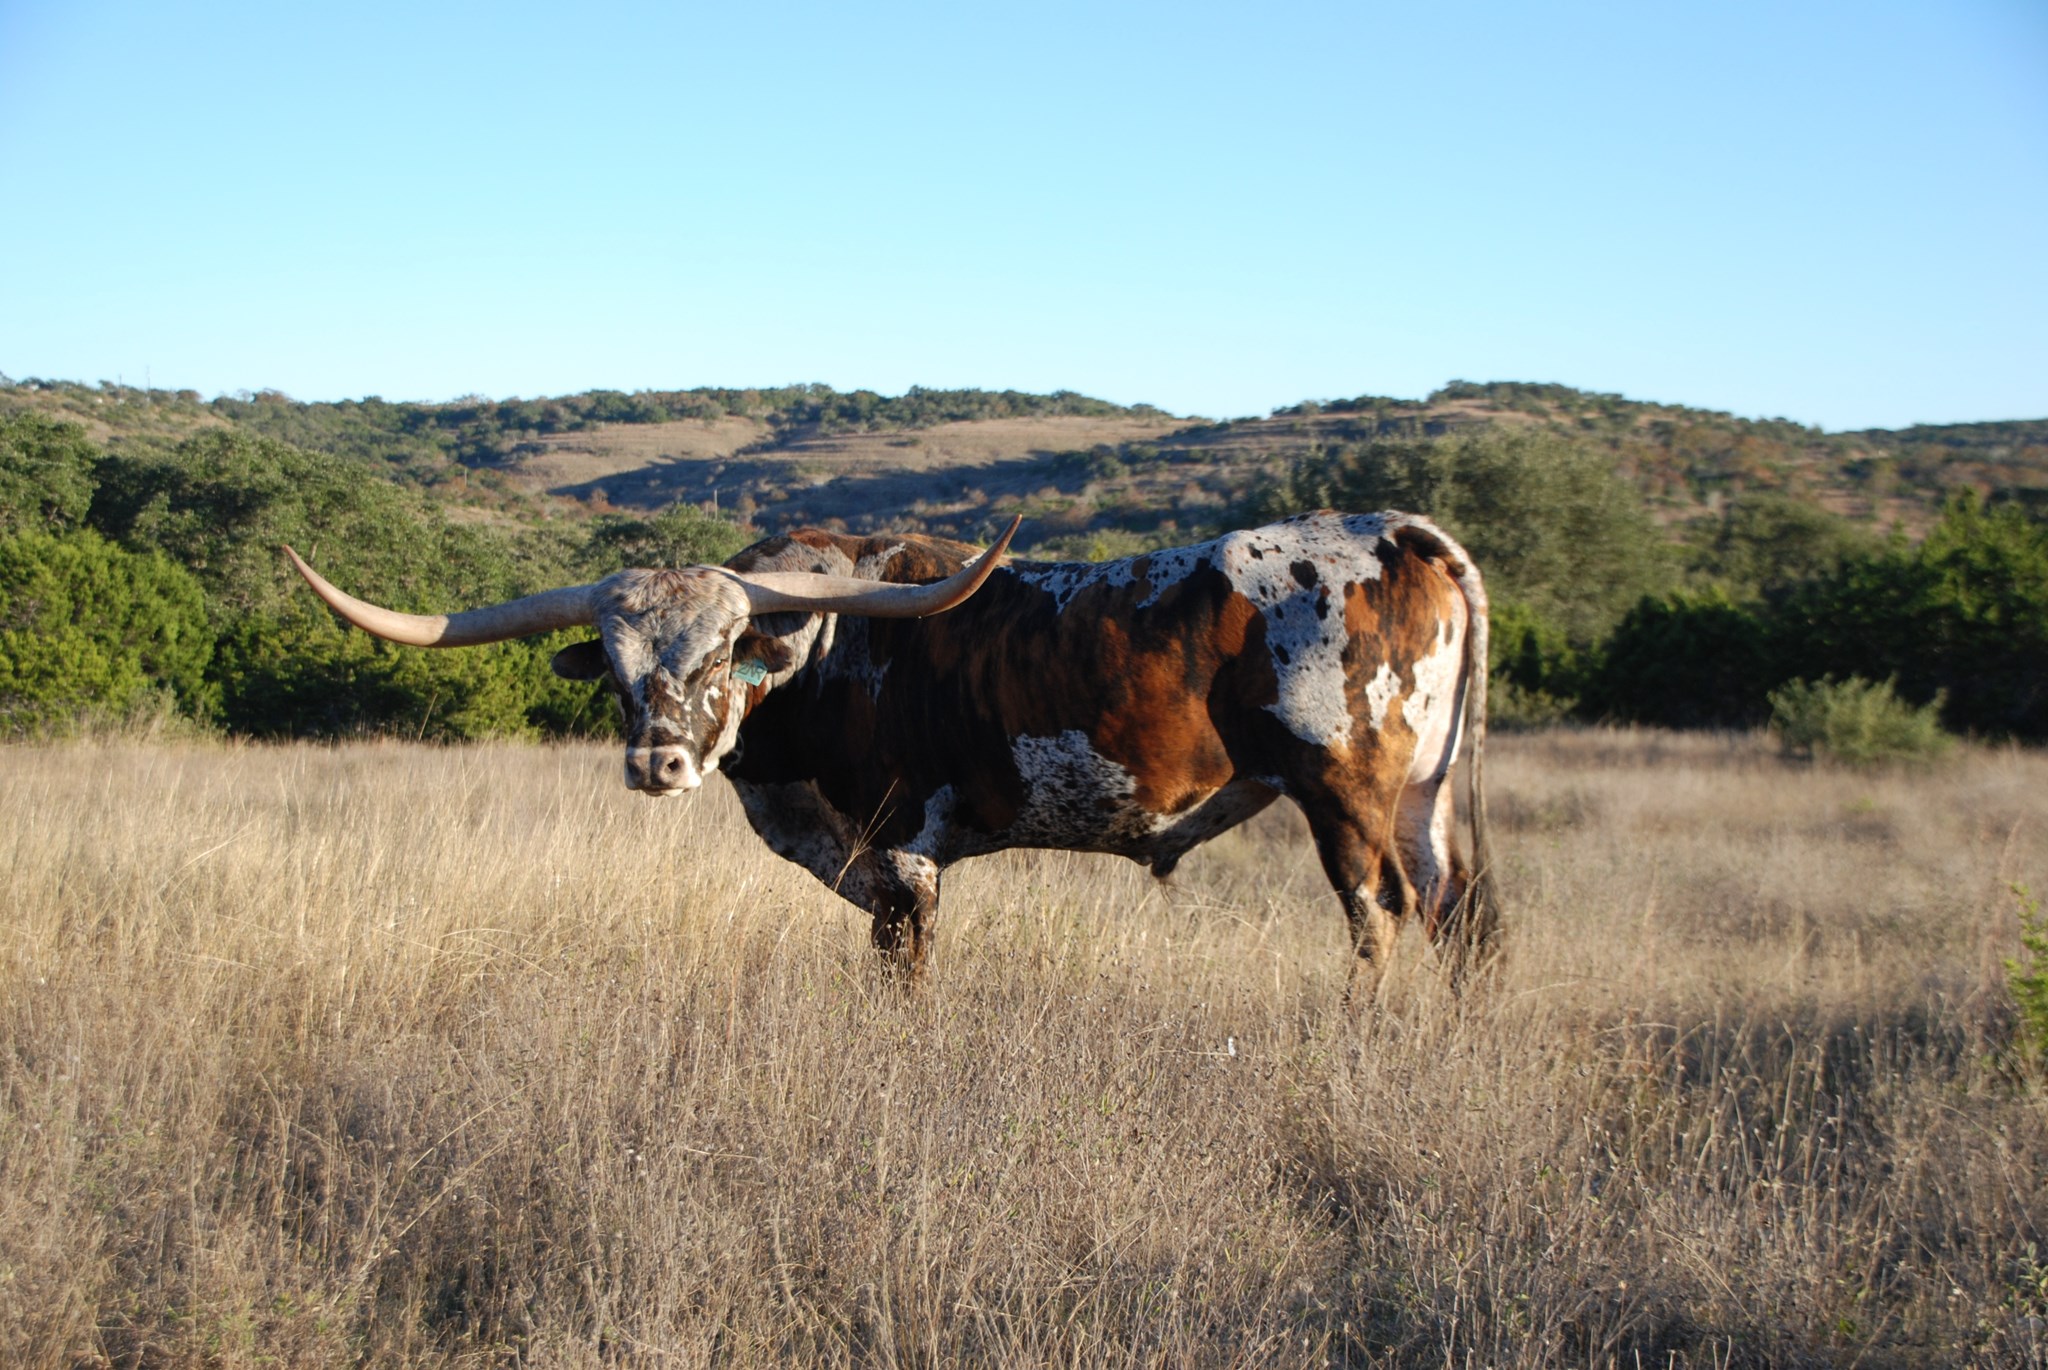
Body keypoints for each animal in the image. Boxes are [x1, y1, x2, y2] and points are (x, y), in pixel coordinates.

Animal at [284, 509, 1500, 994]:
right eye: (617, 662)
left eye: (722, 651)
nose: (656, 763)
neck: (824, 654)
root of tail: (1394, 528)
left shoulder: (904, 852)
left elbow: (902, 969)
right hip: (1422, 798)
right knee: (1456, 913)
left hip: (1342, 792)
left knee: (1379, 917)